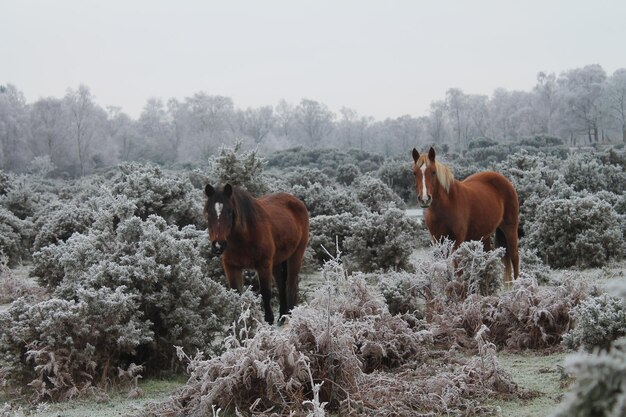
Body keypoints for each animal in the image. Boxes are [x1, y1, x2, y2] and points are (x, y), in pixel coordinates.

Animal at [204, 184, 308, 324]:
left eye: (230, 212)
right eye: (209, 213)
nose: (218, 245)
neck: (244, 236)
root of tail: (297, 201)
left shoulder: (263, 265)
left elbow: (265, 292)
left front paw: (268, 320)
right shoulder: (231, 267)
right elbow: (236, 294)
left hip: (295, 255)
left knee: (290, 284)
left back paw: (289, 316)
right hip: (277, 261)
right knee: (281, 283)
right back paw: (282, 315)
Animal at [412, 147, 520, 282]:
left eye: (433, 172)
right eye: (414, 173)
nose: (425, 199)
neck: (446, 206)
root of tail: (506, 182)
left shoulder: (458, 241)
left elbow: (458, 270)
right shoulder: (438, 241)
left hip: (510, 228)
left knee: (515, 257)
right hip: (484, 235)